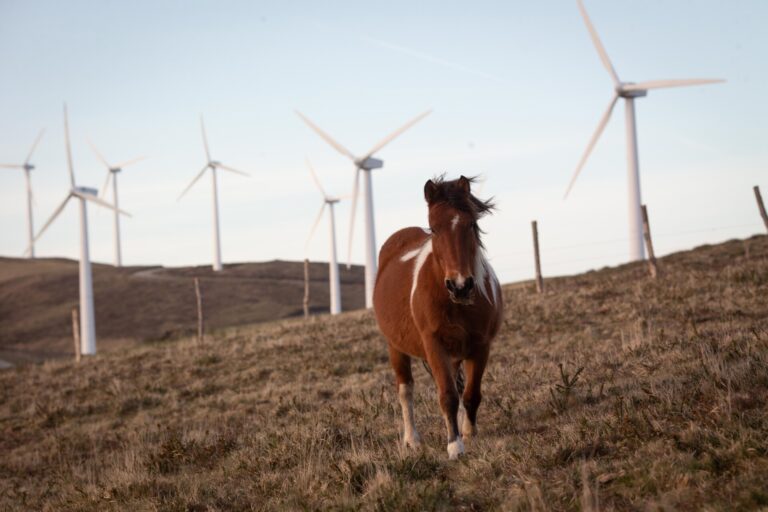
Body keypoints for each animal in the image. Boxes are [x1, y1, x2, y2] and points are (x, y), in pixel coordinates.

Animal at [374, 175, 504, 460]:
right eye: (433, 229)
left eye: (471, 224)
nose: (460, 285)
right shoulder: (434, 346)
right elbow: (447, 396)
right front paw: (454, 445)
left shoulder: (481, 347)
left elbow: (471, 394)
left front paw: (468, 432)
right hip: (395, 347)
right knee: (405, 391)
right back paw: (412, 440)